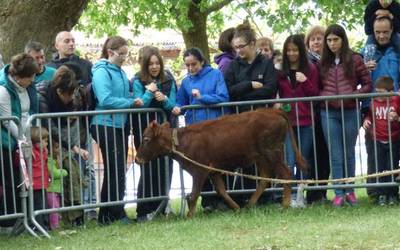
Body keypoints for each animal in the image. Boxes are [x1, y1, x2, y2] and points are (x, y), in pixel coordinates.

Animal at [136, 108, 308, 218]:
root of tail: (273, 111)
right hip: (262, 157)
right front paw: (236, 208)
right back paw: (250, 204)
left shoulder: (199, 171)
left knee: (286, 174)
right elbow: (221, 191)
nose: (137, 159)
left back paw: (285, 205)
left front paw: (189, 216)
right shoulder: (213, 171)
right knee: (265, 179)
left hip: (273, 153)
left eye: (146, 139)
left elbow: (194, 194)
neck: (181, 141)